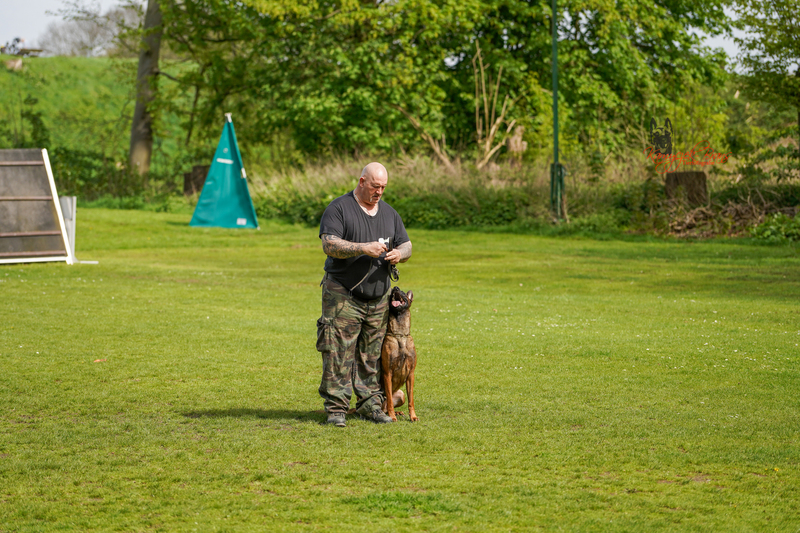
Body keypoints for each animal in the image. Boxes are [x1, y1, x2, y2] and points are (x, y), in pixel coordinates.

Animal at [381, 286, 418, 422]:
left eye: (402, 292)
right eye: (393, 292)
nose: (395, 288)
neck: (400, 335)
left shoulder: (411, 374)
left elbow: (411, 400)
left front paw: (413, 416)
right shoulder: (387, 373)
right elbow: (390, 401)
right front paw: (392, 417)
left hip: (401, 395)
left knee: (385, 408)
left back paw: (398, 413)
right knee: (385, 406)